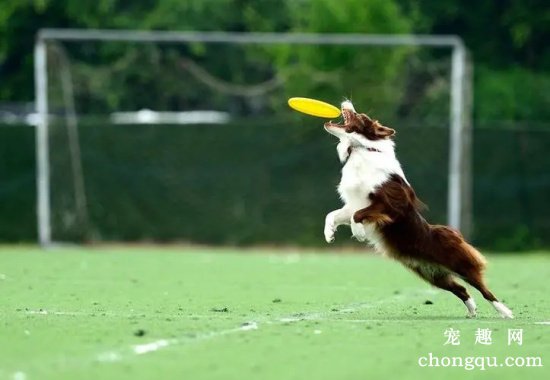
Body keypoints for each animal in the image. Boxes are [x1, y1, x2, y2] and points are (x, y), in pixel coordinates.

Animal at [326, 100, 516, 318]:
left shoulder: (392, 205)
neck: (362, 149)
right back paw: (472, 310)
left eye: (360, 116)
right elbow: (333, 215)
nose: (346, 102)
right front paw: (329, 234)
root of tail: (451, 234)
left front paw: (358, 233)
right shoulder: (354, 203)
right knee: (460, 289)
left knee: (484, 289)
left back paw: (505, 312)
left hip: (459, 264)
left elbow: (357, 216)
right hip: (432, 275)